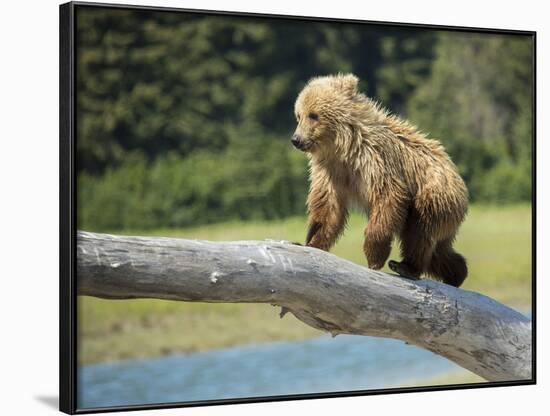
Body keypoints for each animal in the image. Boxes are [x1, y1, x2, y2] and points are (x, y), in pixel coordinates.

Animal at [294, 73, 470, 288]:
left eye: (313, 115)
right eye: (298, 115)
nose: (296, 139)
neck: (342, 147)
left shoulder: (375, 159)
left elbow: (388, 196)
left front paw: (374, 257)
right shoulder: (330, 172)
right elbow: (328, 206)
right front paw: (311, 242)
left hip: (434, 194)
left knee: (420, 230)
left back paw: (406, 266)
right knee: (439, 250)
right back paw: (456, 273)